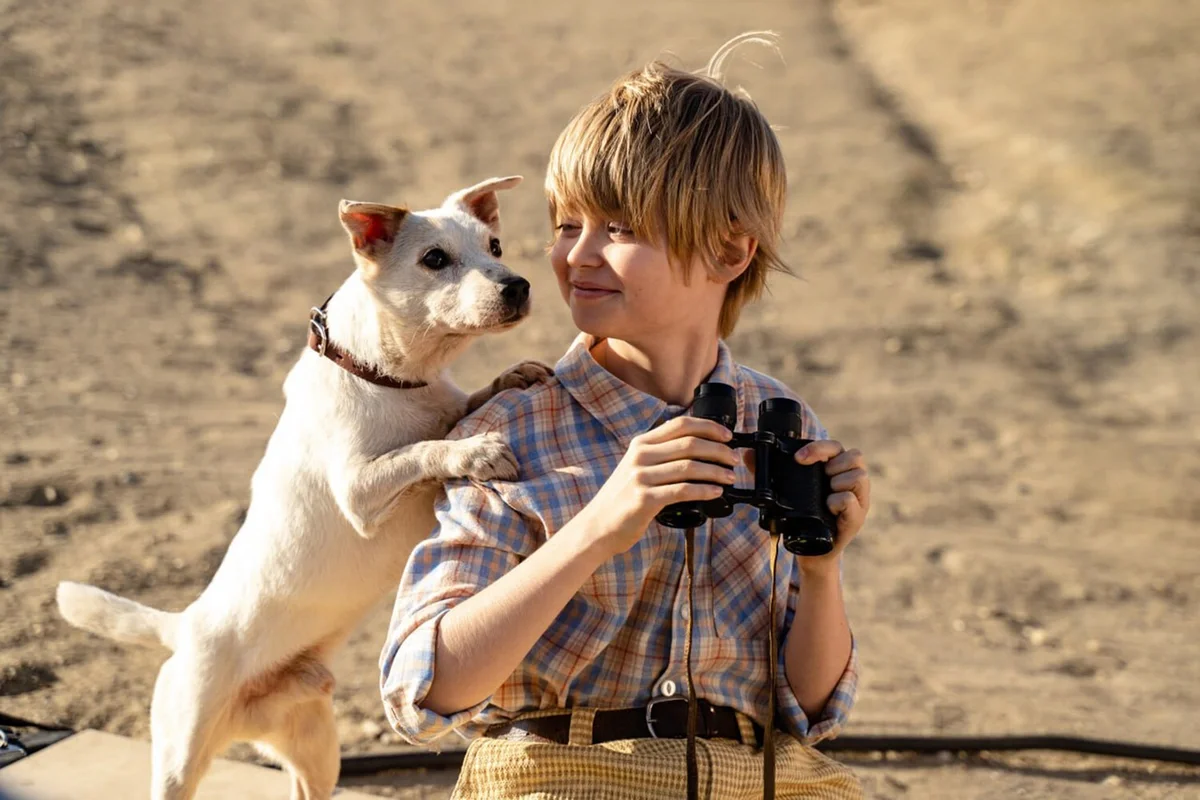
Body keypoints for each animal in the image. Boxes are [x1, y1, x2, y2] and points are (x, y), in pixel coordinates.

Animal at [51, 176, 549, 800]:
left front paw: (511, 376)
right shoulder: (360, 491)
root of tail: (184, 626)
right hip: (179, 758)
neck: (385, 377)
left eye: (495, 247)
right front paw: (474, 451)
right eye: (435, 259)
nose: (519, 285)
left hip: (318, 753)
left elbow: (461, 408)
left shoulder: (440, 407)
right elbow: (424, 449)